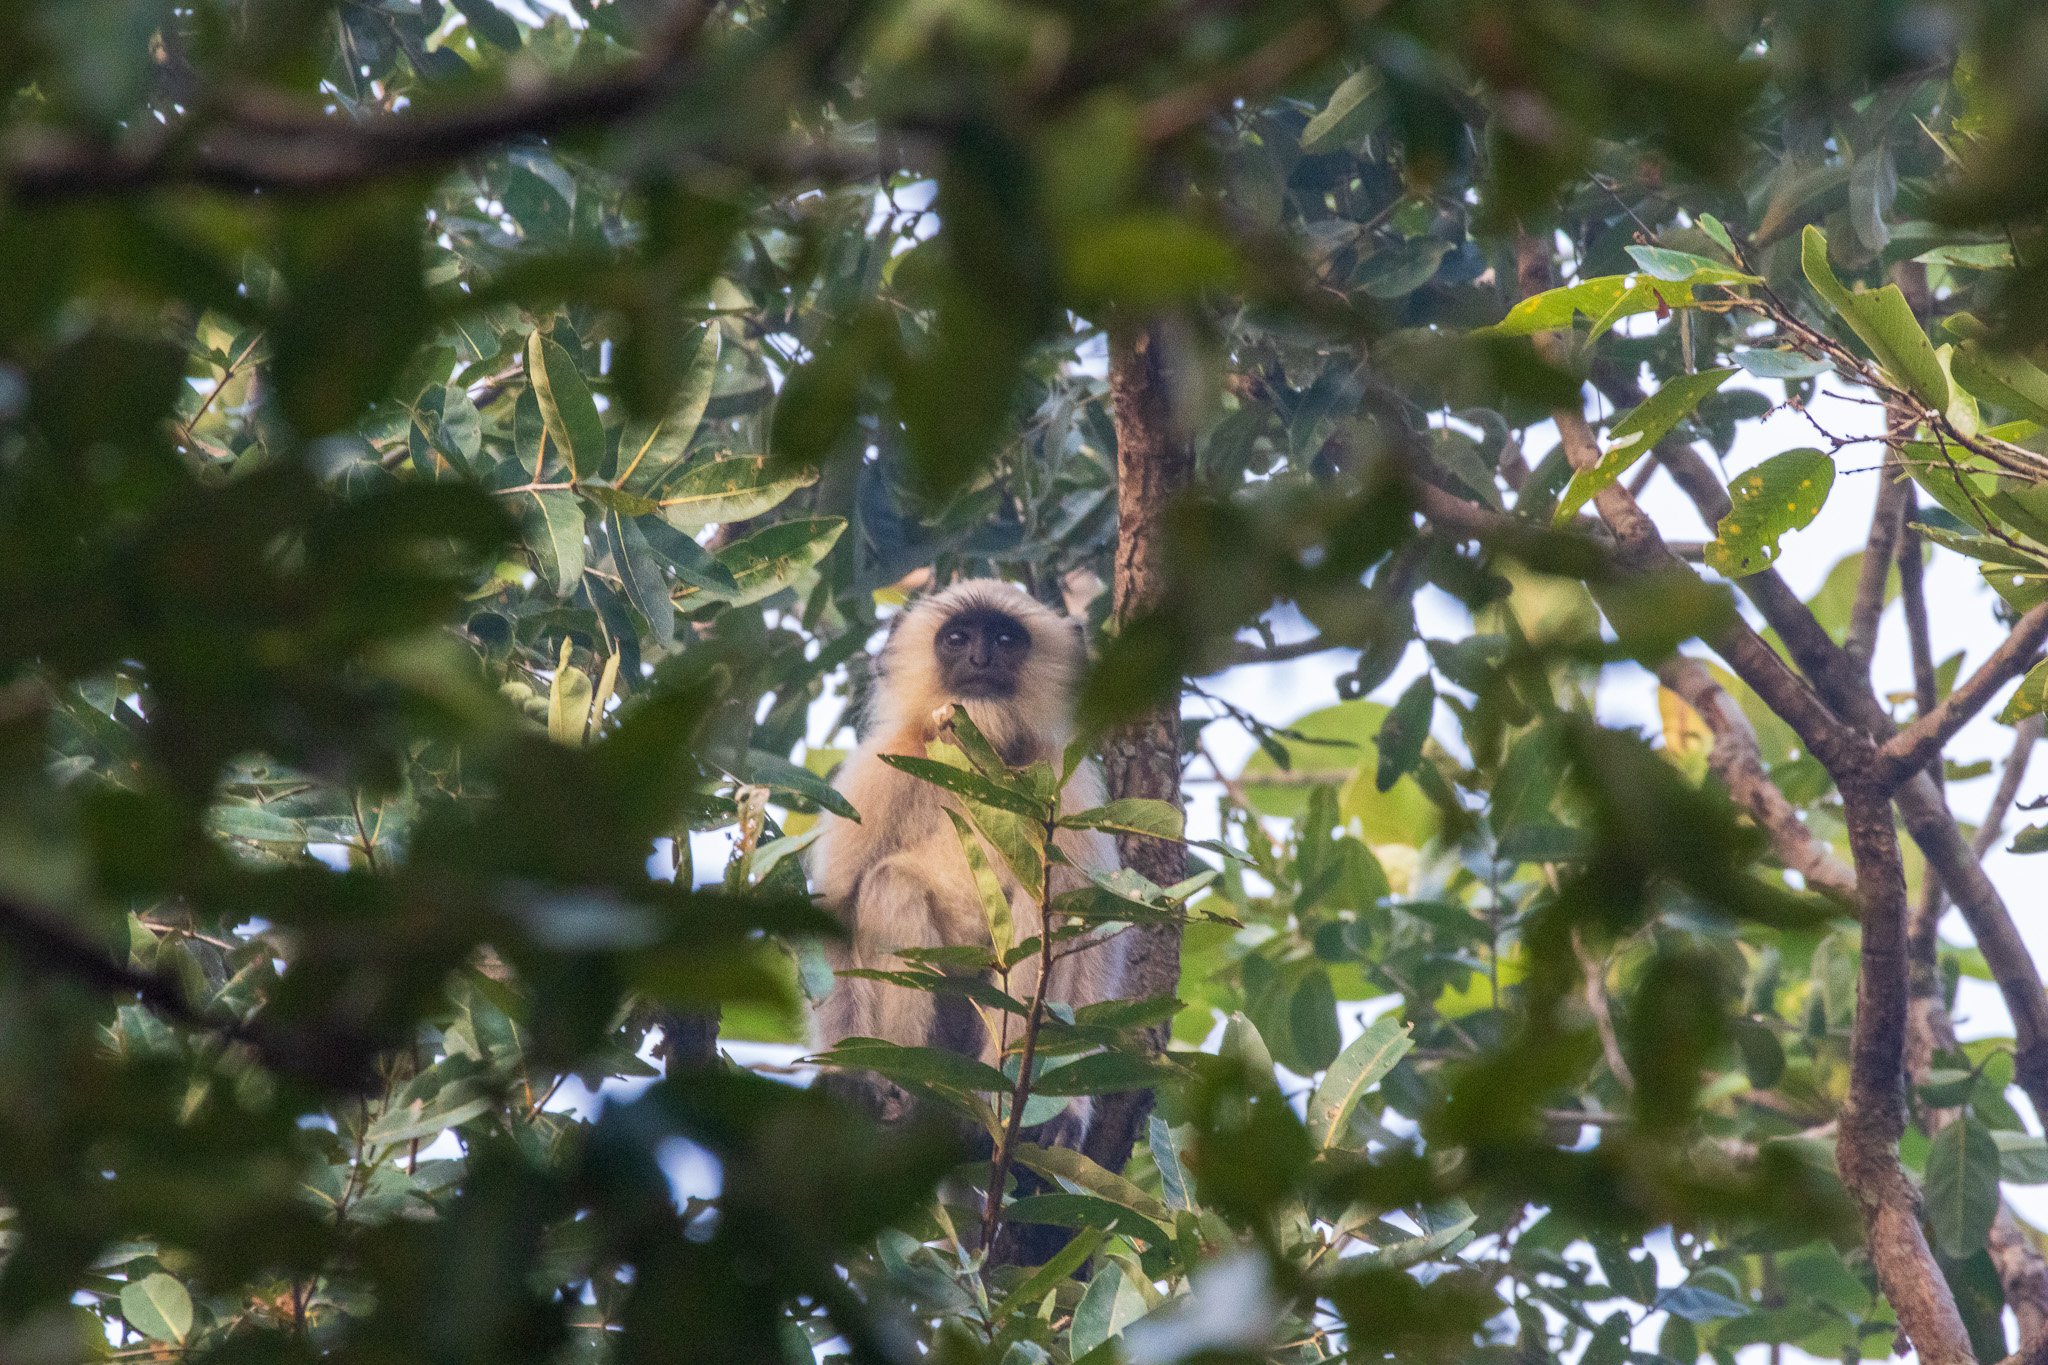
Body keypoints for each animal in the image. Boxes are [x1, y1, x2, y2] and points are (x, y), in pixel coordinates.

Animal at [811, 581, 1138, 1146]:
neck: (972, 764)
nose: (980, 660)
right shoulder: (880, 772)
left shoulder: (1063, 785)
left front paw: (1069, 1114)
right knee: (890, 883)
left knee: (1044, 905)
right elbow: (837, 911)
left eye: (1006, 639)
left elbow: (1090, 933)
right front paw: (850, 1079)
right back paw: (908, 1090)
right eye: (957, 638)